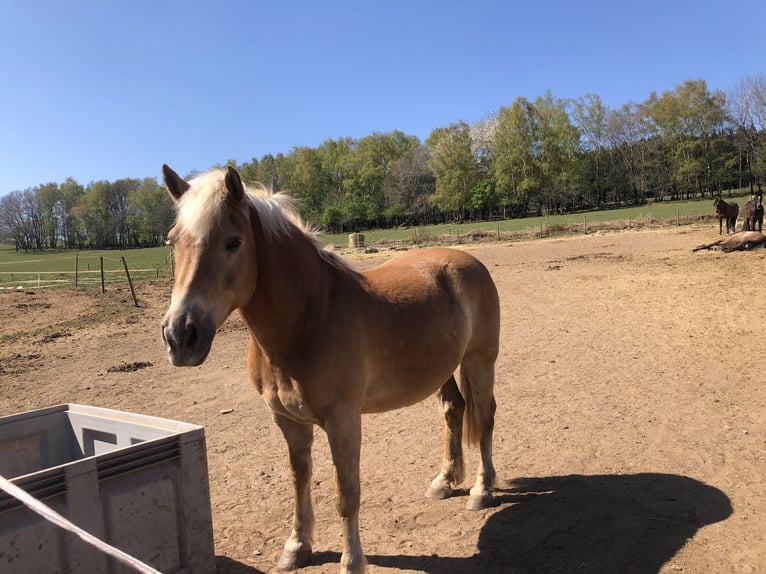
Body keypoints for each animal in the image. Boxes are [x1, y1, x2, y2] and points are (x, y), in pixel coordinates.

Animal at [159, 164, 500, 572]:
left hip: (479, 361)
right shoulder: (288, 420)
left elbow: (346, 492)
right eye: (172, 241)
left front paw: (351, 561)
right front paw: (296, 546)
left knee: (483, 416)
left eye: (233, 242)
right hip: (443, 368)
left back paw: (482, 489)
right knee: (453, 410)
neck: (310, 319)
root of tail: (468, 260)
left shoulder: (343, 420)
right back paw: (445, 482)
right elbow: (299, 478)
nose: (180, 336)